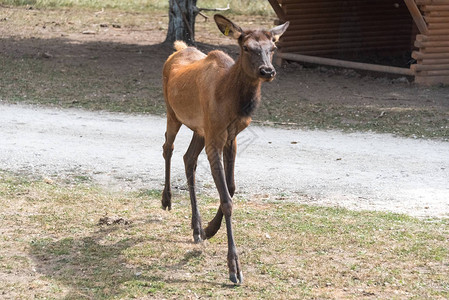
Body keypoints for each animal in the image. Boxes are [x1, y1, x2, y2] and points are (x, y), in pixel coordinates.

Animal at [160, 14, 288, 284]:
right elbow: (227, 199)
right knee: (168, 146)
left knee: (188, 158)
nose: (267, 71)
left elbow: (231, 187)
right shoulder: (215, 137)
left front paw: (209, 228)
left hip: (200, 129)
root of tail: (177, 49)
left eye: (273, 47)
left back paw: (197, 226)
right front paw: (233, 267)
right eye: (246, 47)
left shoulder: (231, 137)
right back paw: (166, 199)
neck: (233, 102)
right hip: (172, 112)